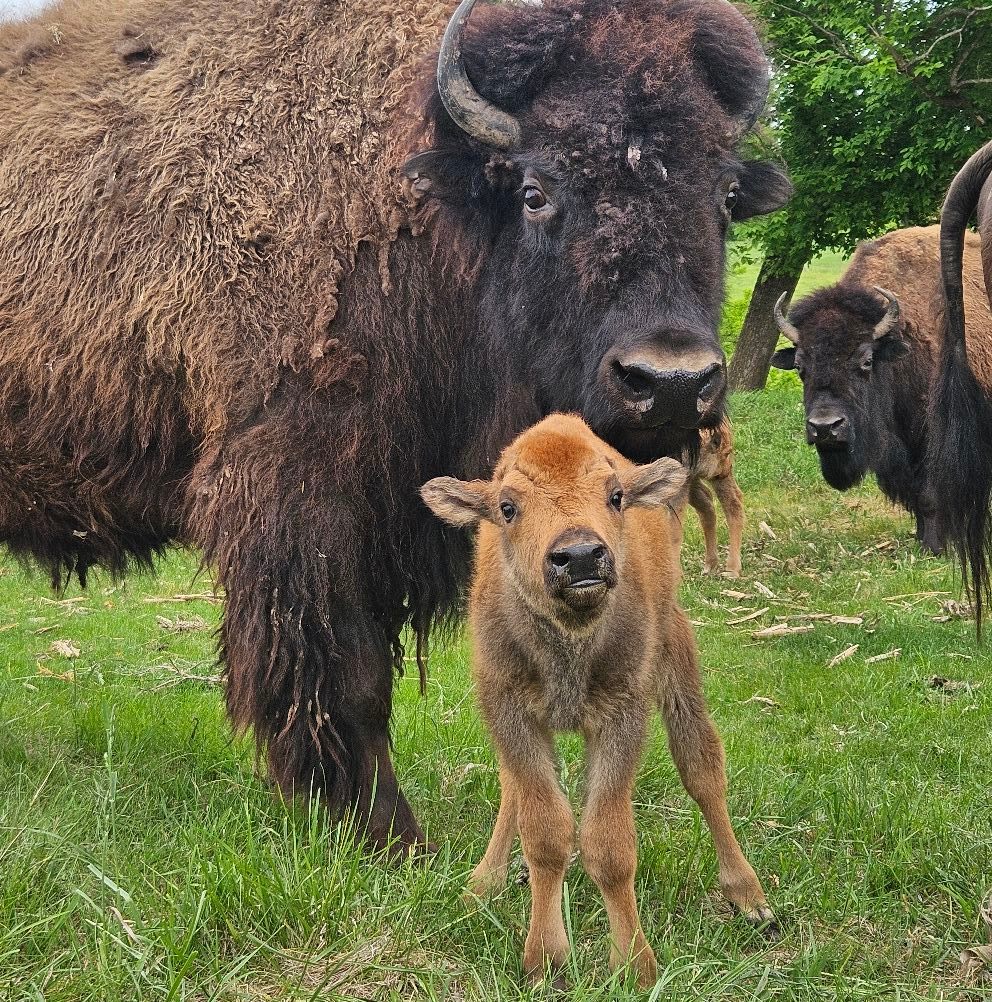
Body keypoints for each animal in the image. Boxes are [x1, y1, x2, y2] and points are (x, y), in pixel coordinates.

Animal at [0, 0, 790, 852]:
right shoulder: (302, 500)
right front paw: (386, 833)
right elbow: (341, 672)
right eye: (535, 191)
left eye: (725, 194)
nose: (670, 382)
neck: (430, 214)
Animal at [771, 225, 992, 554]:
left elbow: (929, 495)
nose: (825, 427)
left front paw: (933, 547)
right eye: (800, 366)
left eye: (866, 361)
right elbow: (916, 495)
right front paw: (922, 538)